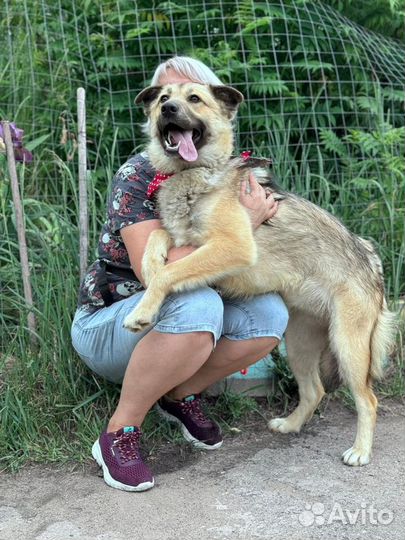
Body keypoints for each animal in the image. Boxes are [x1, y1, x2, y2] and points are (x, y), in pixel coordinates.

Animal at [124, 82, 394, 466]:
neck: (192, 175)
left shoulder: (232, 245)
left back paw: (359, 451)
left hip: (349, 347)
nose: (169, 109)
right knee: (315, 390)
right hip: (299, 344)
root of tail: (370, 258)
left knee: (368, 400)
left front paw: (143, 310)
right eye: (163, 98)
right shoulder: (183, 238)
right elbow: (158, 241)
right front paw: (149, 270)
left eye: (194, 99)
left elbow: (171, 270)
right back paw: (291, 425)